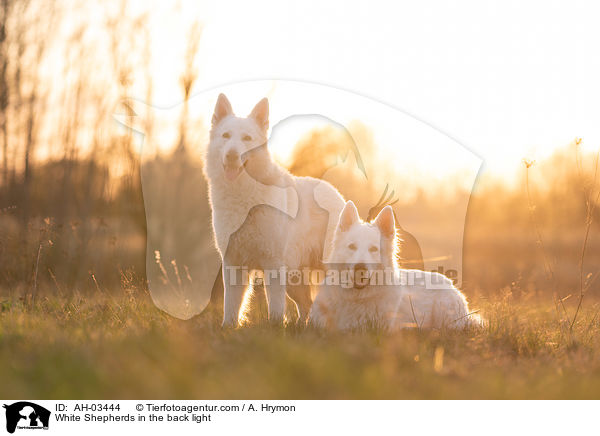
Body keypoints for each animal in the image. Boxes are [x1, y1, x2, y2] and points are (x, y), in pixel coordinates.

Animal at [204, 95, 344, 328]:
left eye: (247, 138)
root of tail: (336, 193)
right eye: (226, 136)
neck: (244, 195)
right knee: (306, 304)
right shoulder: (233, 263)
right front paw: (228, 327)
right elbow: (231, 305)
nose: (232, 155)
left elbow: (276, 307)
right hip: (294, 280)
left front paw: (275, 328)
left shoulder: (273, 264)